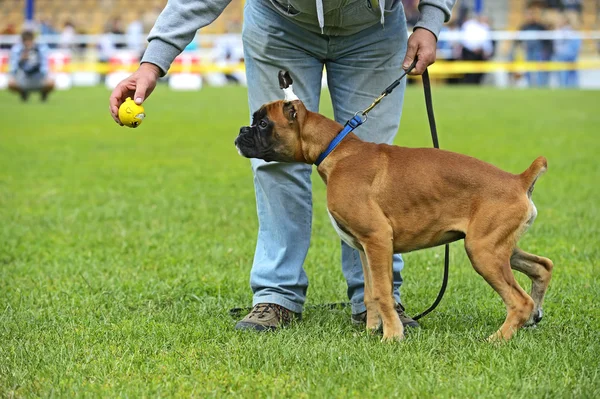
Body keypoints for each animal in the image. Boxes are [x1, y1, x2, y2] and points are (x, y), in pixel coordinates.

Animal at [232, 72, 552, 344]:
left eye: (263, 124)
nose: (242, 130)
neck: (335, 150)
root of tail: (518, 179)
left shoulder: (377, 239)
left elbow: (384, 292)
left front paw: (391, 337)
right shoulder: (365, 248)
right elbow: (371, 293)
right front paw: (372, 332)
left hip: (483, 251)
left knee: (519, 300)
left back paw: (498, 338)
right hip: (497, 247)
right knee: (542, 267)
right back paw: (533, 317)